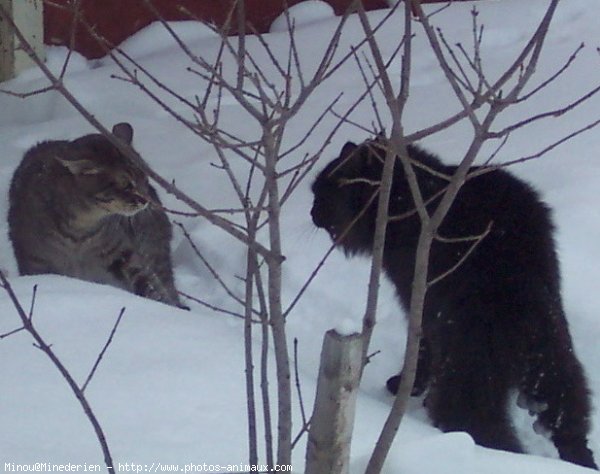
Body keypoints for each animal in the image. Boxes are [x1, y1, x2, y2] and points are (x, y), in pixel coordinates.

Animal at [8, 122, 184, 308]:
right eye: (127, 185)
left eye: (145, 179)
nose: (147, 201)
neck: (79, 229)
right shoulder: (35, 262)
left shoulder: (123, 253)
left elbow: (149, 283)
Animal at [312, 136, 596, 470]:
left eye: (321, 194)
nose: (311, 212)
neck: (406, 197)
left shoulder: (418, 301)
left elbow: (420, 351)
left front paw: (407, 384)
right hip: (552, 352)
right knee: (568, 414)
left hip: (468, 365)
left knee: (482, 426)